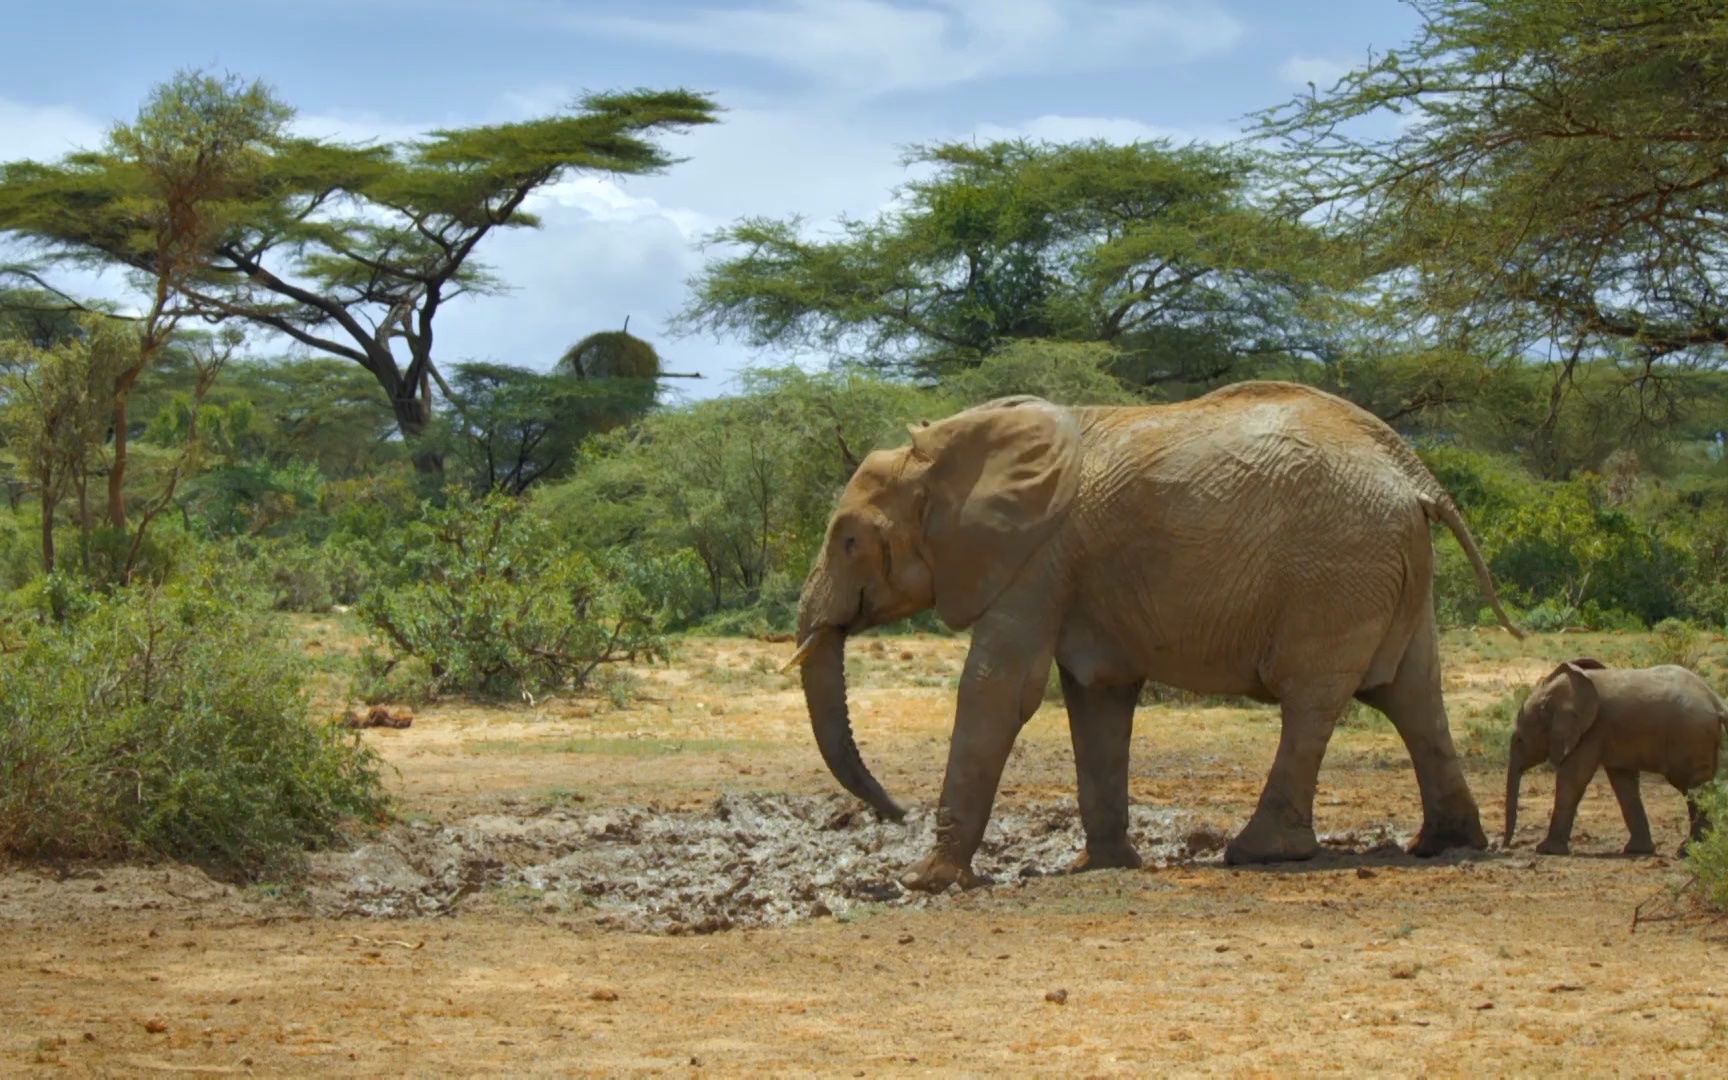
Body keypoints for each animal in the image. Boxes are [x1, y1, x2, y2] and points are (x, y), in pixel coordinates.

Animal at [791, 383, 1520, 891]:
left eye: (848, 540)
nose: (895, 813)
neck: (947, 447)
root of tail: (1417, 476)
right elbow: (1097, 696)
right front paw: (1103, 866)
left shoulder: (1037, 558)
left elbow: (1001, 690)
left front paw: (926, 882)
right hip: (1389, 565)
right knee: (1413, 696)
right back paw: (1448, 846)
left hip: (1338, 570)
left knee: (1313, 702)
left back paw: (1257, 853)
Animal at [1506, 656, 1721, 860]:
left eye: (1520, 740)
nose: (1506, 846)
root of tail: (1716, 700)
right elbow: (1623, 783)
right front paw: (1636, 851)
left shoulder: (1591, 731)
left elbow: (1573, 779)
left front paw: (1546, 850)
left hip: (1692, 736)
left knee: (1692, 787)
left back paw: (1687, 851)